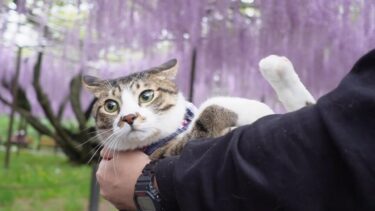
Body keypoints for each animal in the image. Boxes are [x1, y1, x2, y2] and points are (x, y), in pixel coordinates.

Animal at [83, 55, 316, 159]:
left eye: (146, 95)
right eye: (111, 106)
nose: (129, 117)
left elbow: (306, 108)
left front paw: (276, 67)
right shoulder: (162, 153)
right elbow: (207, 113)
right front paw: (257, 108)